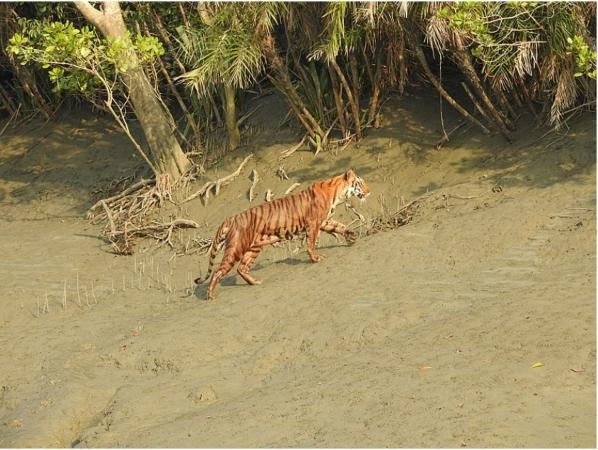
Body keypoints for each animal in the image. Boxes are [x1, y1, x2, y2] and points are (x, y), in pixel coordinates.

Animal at [195, 171, 370, 300]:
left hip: (254, 248)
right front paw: (316, 258)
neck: (337, 194)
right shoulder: (313, 223)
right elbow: (311, 243)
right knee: (218, 271)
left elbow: (340, 226)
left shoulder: (325, 221)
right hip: (236, 248)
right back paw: (210, 295)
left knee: (242, 268)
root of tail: (231, 217)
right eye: (359, 182)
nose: (369, 192)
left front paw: (352, 236)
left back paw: (255, 282)